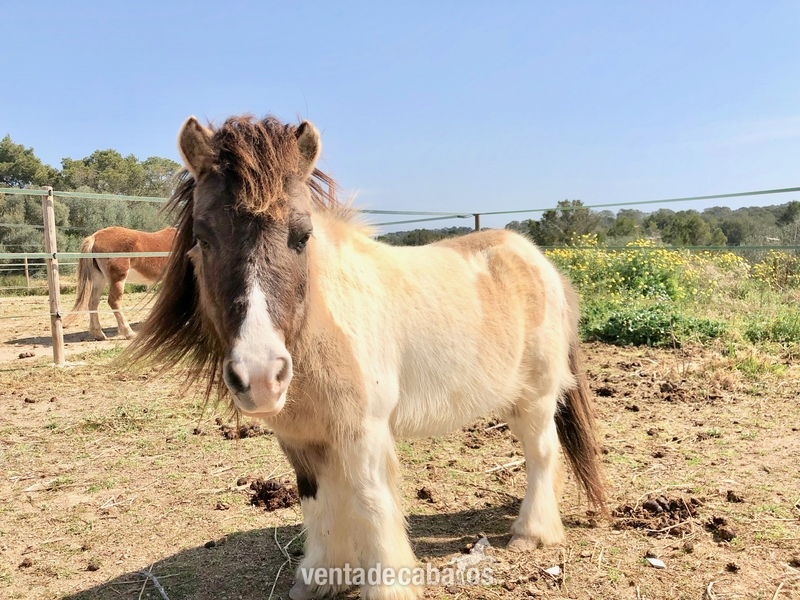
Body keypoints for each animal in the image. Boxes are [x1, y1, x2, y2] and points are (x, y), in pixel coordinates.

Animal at [126, 114, 606, 600]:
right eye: (203, 237)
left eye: (302, 236)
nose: (260, 376)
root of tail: (540, 262)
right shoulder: (302, 439)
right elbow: (318, 504)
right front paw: (321, 579)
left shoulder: (363, 434)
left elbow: (371, 505)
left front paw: (388, 585)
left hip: (536, 398)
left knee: (542, 452)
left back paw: (531, 534)